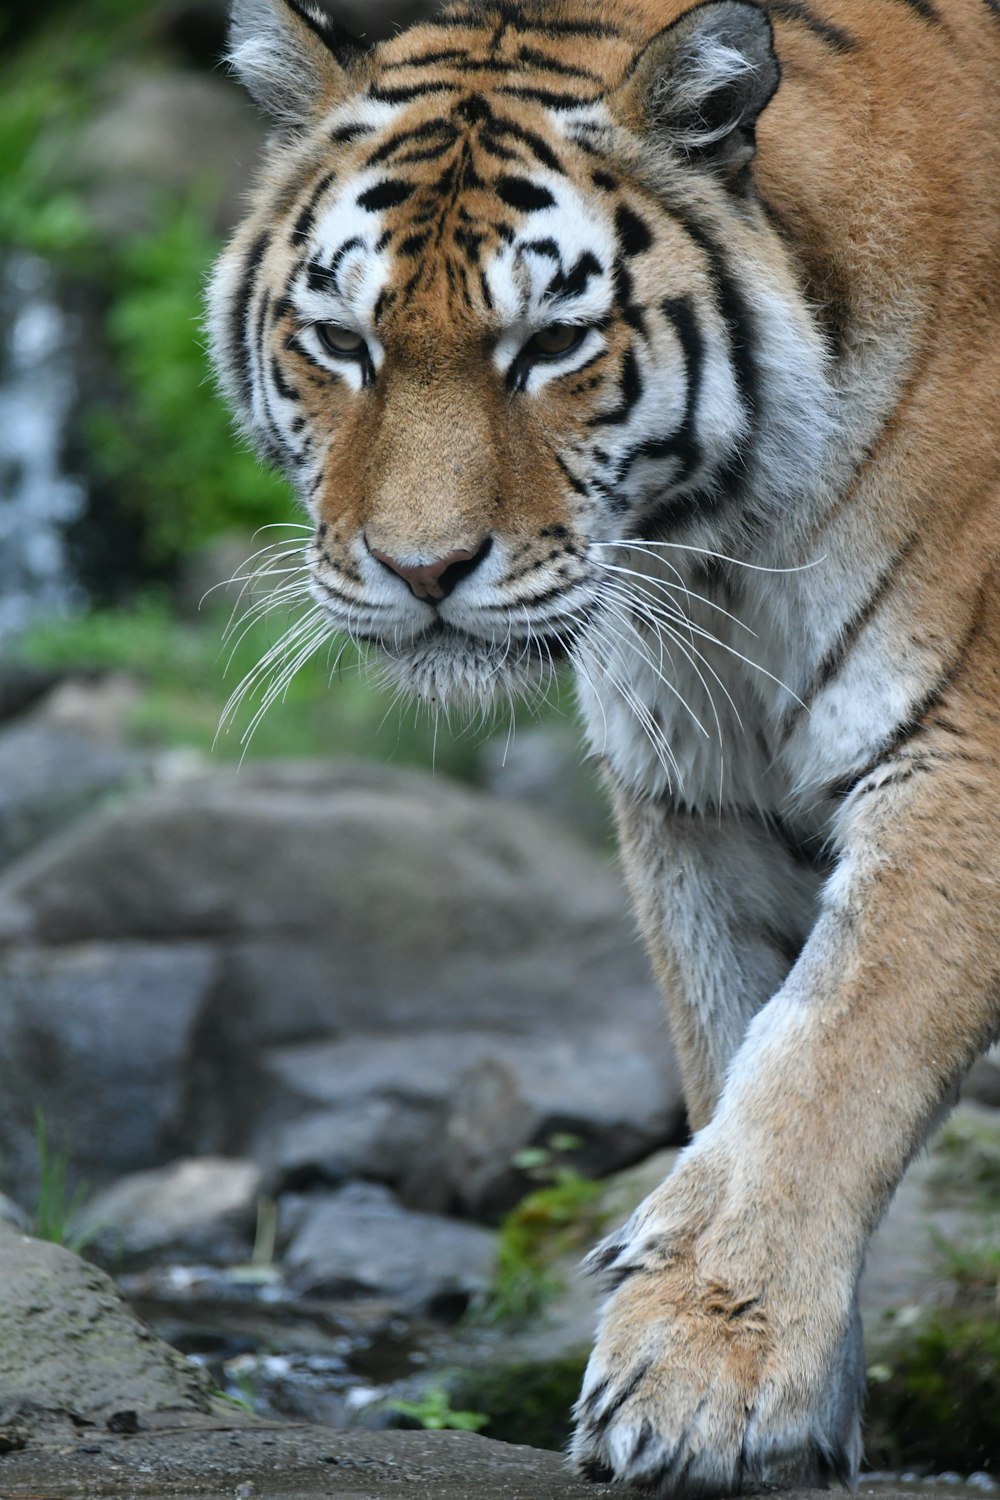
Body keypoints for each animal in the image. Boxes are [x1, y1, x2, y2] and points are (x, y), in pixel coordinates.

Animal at [209, 2, 1000, 1488]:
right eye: (341, 342)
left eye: (551, 345)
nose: (422, 569)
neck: (722, 549)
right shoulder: (697, 792)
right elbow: (734, 1053)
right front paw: (780, 1418)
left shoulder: (962, 752)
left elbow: (827, 1059)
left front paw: (697, 1378)